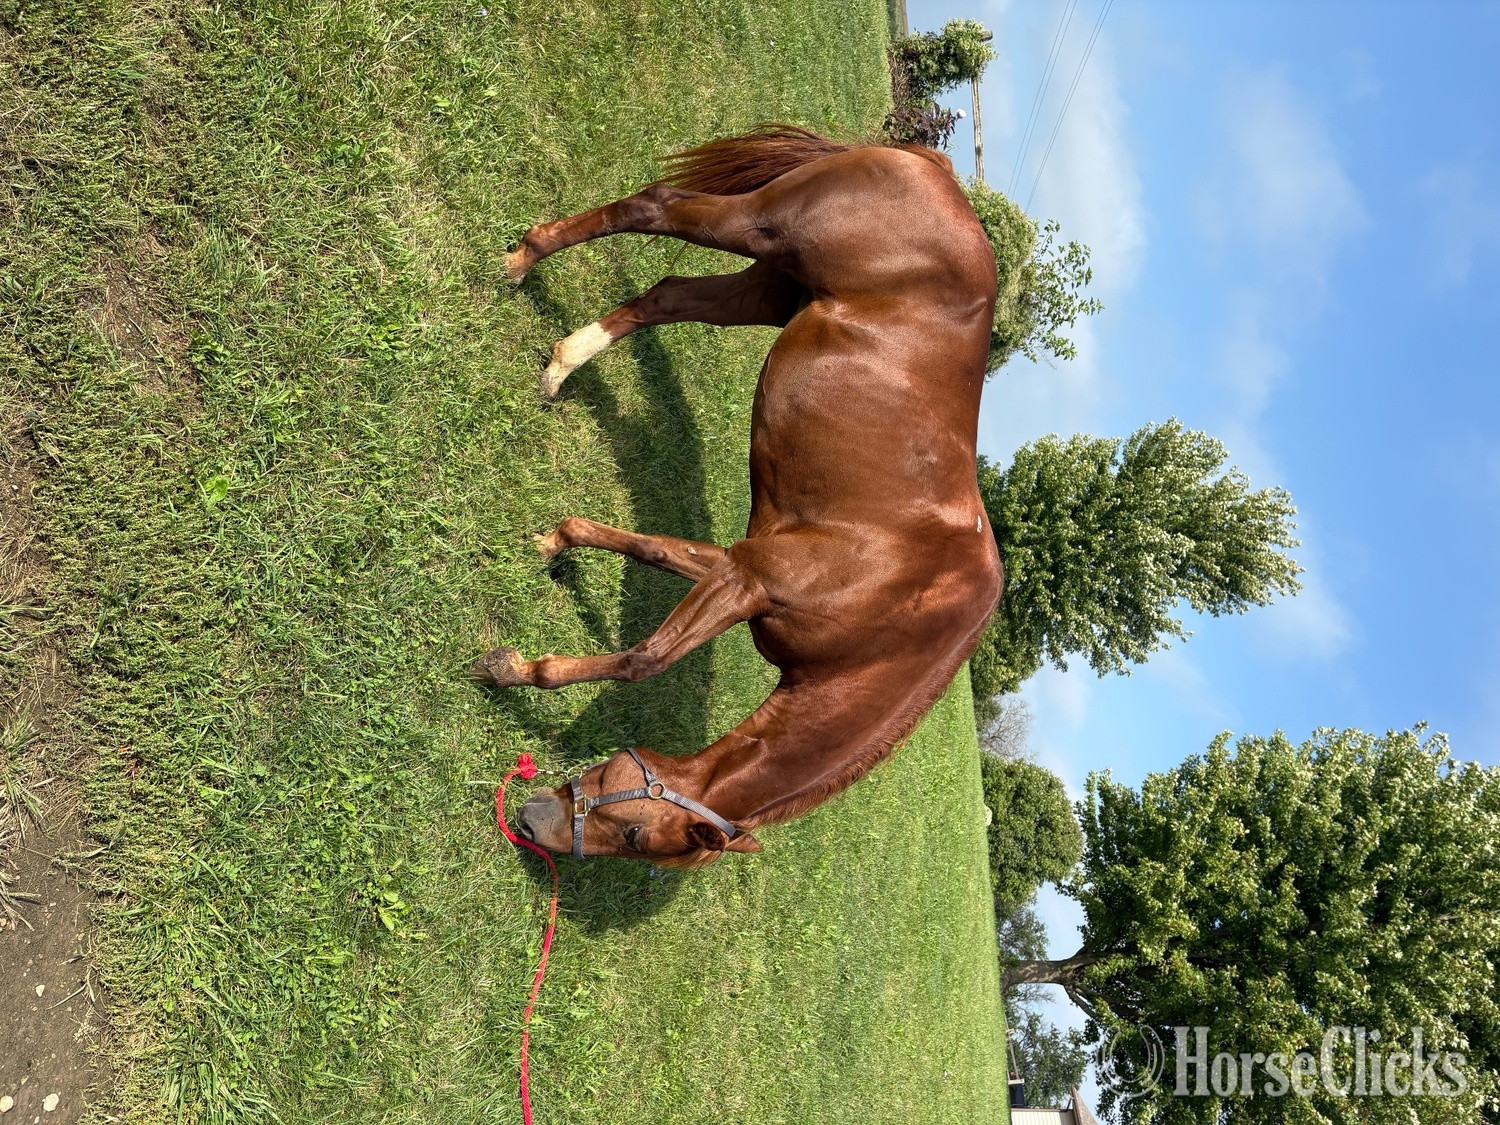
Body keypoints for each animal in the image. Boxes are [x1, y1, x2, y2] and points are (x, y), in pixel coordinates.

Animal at [474, 126, 1002, 866]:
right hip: (761, 230)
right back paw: (521, 259)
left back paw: (561, 363)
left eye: (636, 841)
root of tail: (935, 169)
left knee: (664, 296)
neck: (895, 617)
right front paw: (510, 667)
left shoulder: (739, 563)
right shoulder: (753, 579)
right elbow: (643, 659)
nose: (528, 821)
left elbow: (653, 550)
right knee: (655, 206)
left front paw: (557, 540)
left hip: (769, 292)